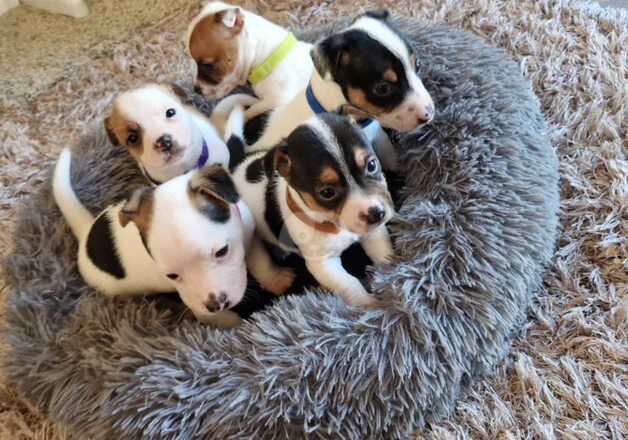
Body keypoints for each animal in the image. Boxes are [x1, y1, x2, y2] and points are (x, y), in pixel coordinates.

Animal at [54, 148, 290, 326]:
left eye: (222, 252)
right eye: (172, 275)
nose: (215, 304)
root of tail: (86, 234)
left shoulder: (250, 235)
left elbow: (261, 262)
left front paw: (277, 280)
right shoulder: (194, 302)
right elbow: (216, 318)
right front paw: (235, 324)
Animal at [233, 113, 394, 306]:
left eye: (371, 165)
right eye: (327, 192)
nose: (377, 214)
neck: (335, 225)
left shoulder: (374, 233)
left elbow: (383, 255)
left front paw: (391, 276)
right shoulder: (323, 264)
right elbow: (350, 283)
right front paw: (368, 305)